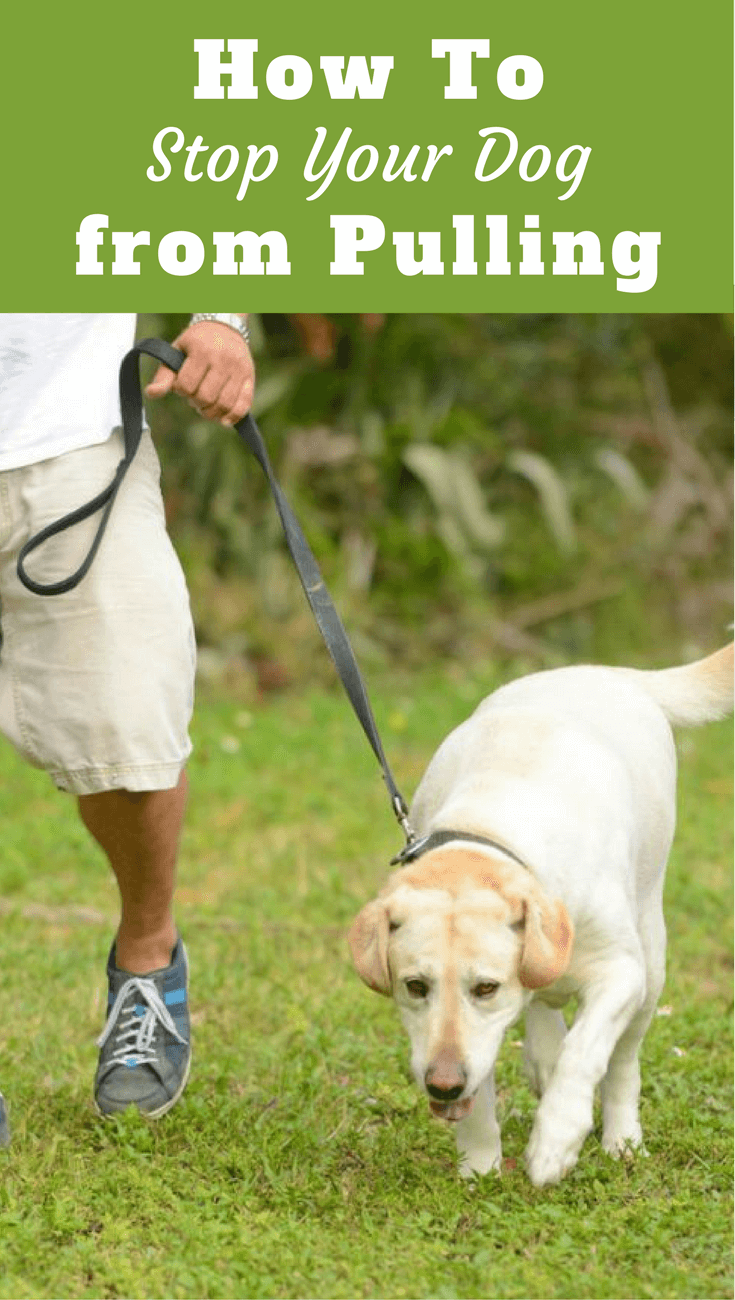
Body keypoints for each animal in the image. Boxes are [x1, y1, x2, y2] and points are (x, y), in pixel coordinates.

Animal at [346, 644, 728, 1185]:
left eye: (486, 987)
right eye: (415, 986)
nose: (442, 1085)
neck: (491, 828)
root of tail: (611, 672)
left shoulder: (619, 972)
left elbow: (586, 1052)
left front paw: (556, 1139)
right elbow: (483, 1093)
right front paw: (479, 1165)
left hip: (651, 960)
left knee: (622, 1060)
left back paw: (622, 1138)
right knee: (546, 1002)